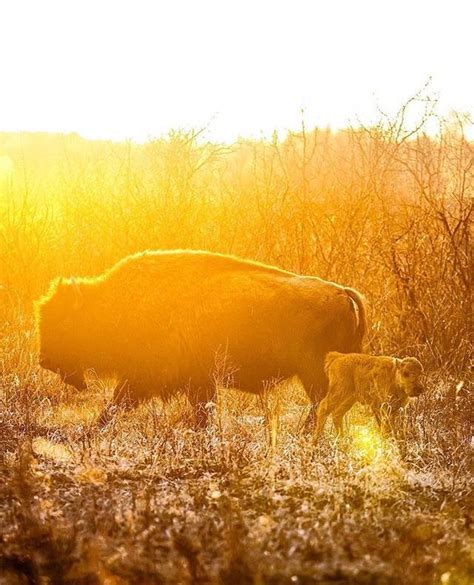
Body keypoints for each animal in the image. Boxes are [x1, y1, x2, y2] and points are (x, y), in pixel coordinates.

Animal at [36, 249, 366, 426]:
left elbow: (116, 404)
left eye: (64, 323)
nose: (44, 360)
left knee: (321, 405)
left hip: (314, 373)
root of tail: (342, 292)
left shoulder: (147, 378)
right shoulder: (198, 382)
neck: (113, 303)